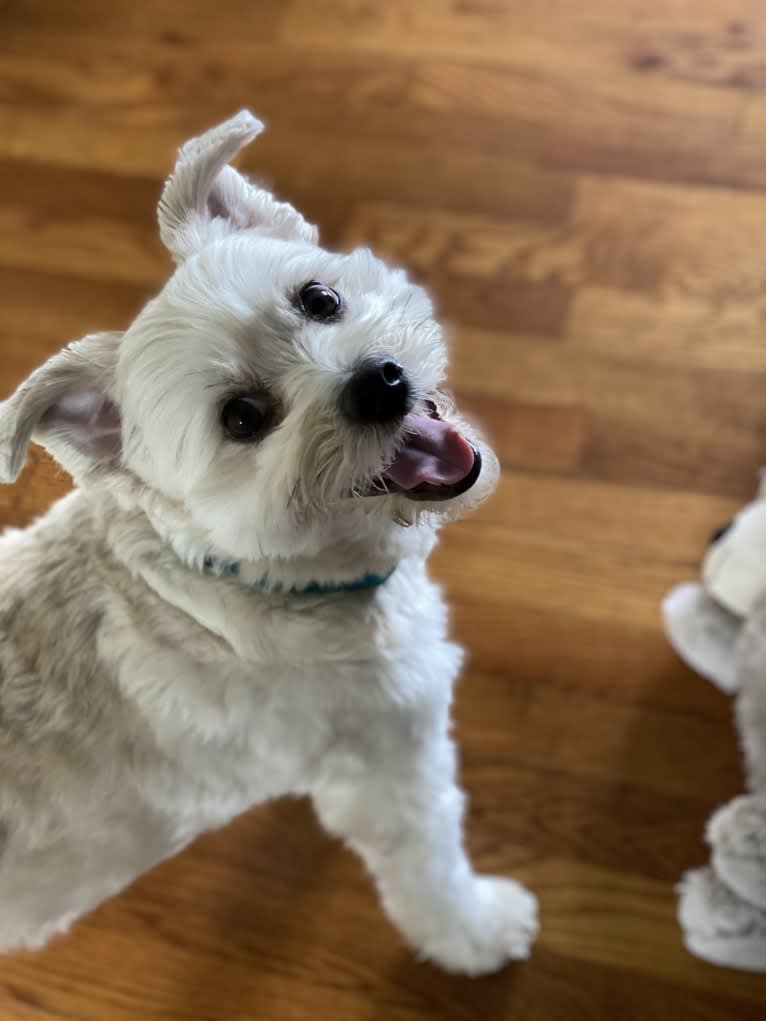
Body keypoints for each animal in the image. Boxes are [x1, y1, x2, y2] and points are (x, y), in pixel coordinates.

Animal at [0, 111, 539, 971]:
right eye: (243, 417)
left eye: (318, 297)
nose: (378, 381)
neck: (256, 580)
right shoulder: (390, 764)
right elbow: (430, 868)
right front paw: (477, 931)